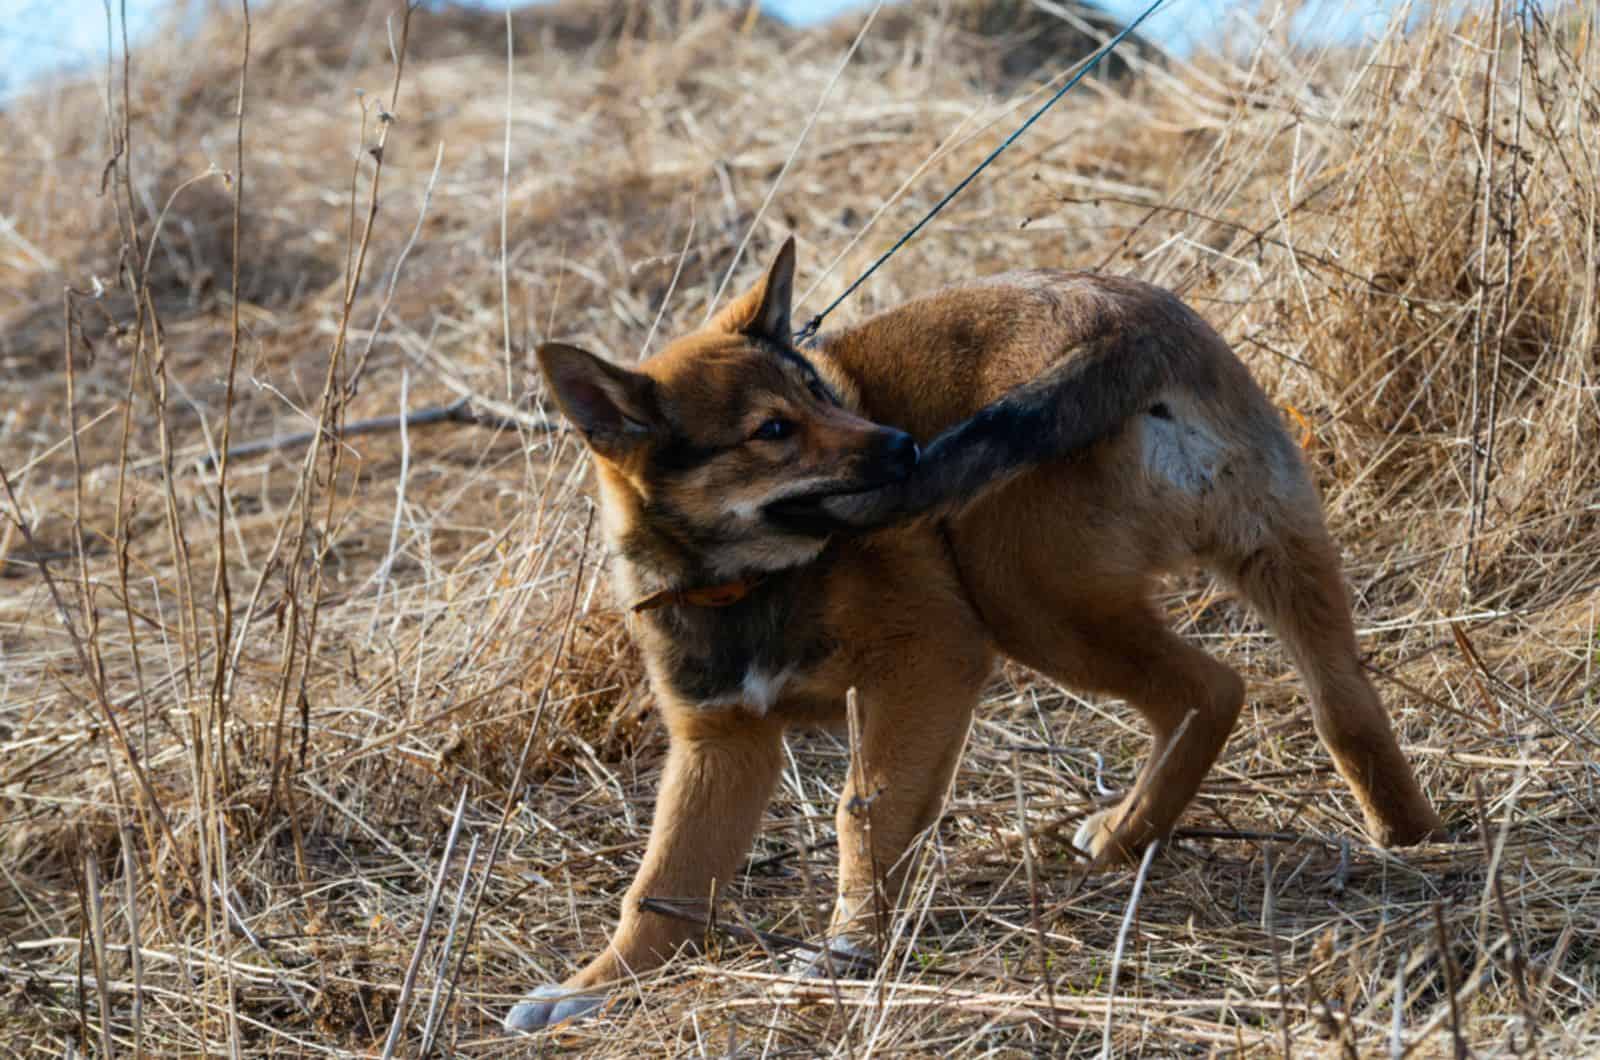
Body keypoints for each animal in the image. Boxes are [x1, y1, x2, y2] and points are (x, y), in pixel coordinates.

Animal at [502, 238, 1452, 1031]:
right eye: (772, 430)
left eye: (820, 392)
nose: (903, 446)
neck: (743, 581)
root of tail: (1125, 326)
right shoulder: (722, 747)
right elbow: (661, 885)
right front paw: (592, 988)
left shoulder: (930, 665)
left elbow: (863, 812)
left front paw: (850, 947)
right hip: (1279, 554)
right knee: (1339, 707)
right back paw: (1396, 835)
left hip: (1024, 598)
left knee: (1212, 689)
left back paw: (1126, 834)